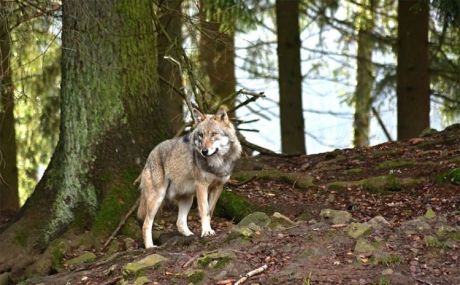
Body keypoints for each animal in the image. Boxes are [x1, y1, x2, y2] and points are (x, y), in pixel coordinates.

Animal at [137, 107, 243, 247]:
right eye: (201, 135)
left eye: (213, 134)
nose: (204, 151)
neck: (217, 163)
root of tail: (151, 154)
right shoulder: (202, 186)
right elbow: (204, 211)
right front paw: (206, 232)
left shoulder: (218, 187)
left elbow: (210, 211)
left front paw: (207, 230)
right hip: (158, 198)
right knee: (146, 224)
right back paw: (150, 246)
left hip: (188, 198)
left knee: (180, 223)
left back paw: (191, 236)